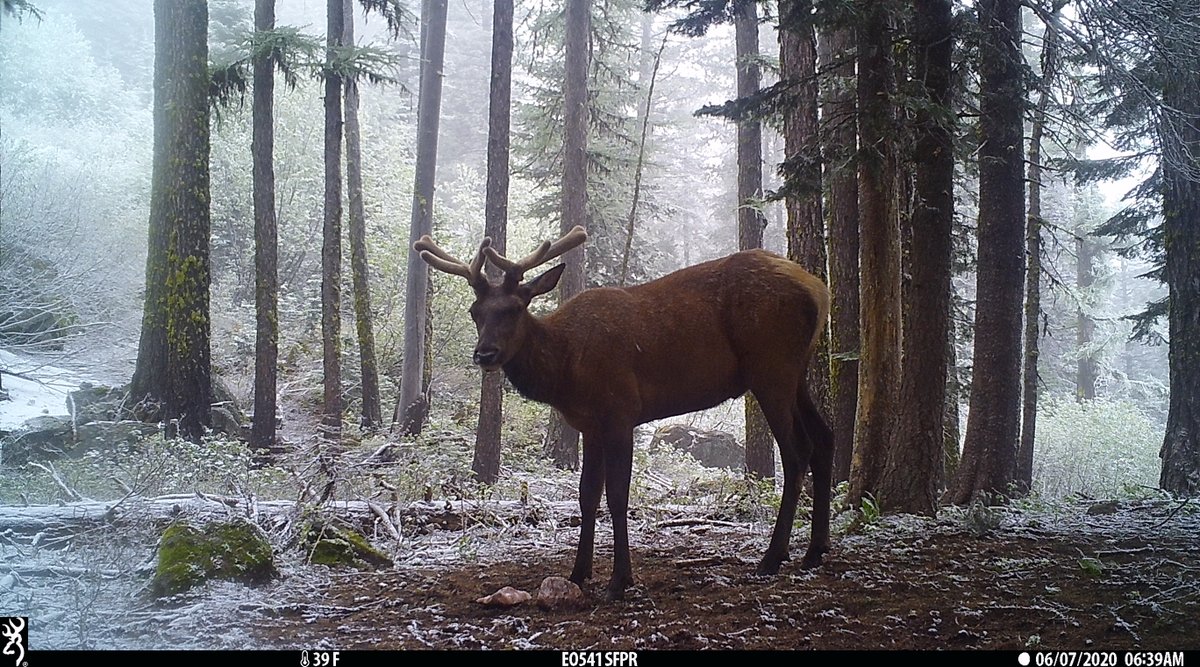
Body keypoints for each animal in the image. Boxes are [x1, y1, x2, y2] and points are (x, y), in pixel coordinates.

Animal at [415, 226, 833, 600]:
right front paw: (579, 573)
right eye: (475, 312)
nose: (484, 354)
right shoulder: (588, 424)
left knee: (797, 452)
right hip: (796, 372)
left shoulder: (620, 412)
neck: (565, 370)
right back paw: (815, 551)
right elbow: (587, 495)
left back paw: (773, 557)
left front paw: (619, 580)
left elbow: (617, 496)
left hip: (771, 368)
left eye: (516, 308)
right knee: (825, 437)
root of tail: (819, 289)